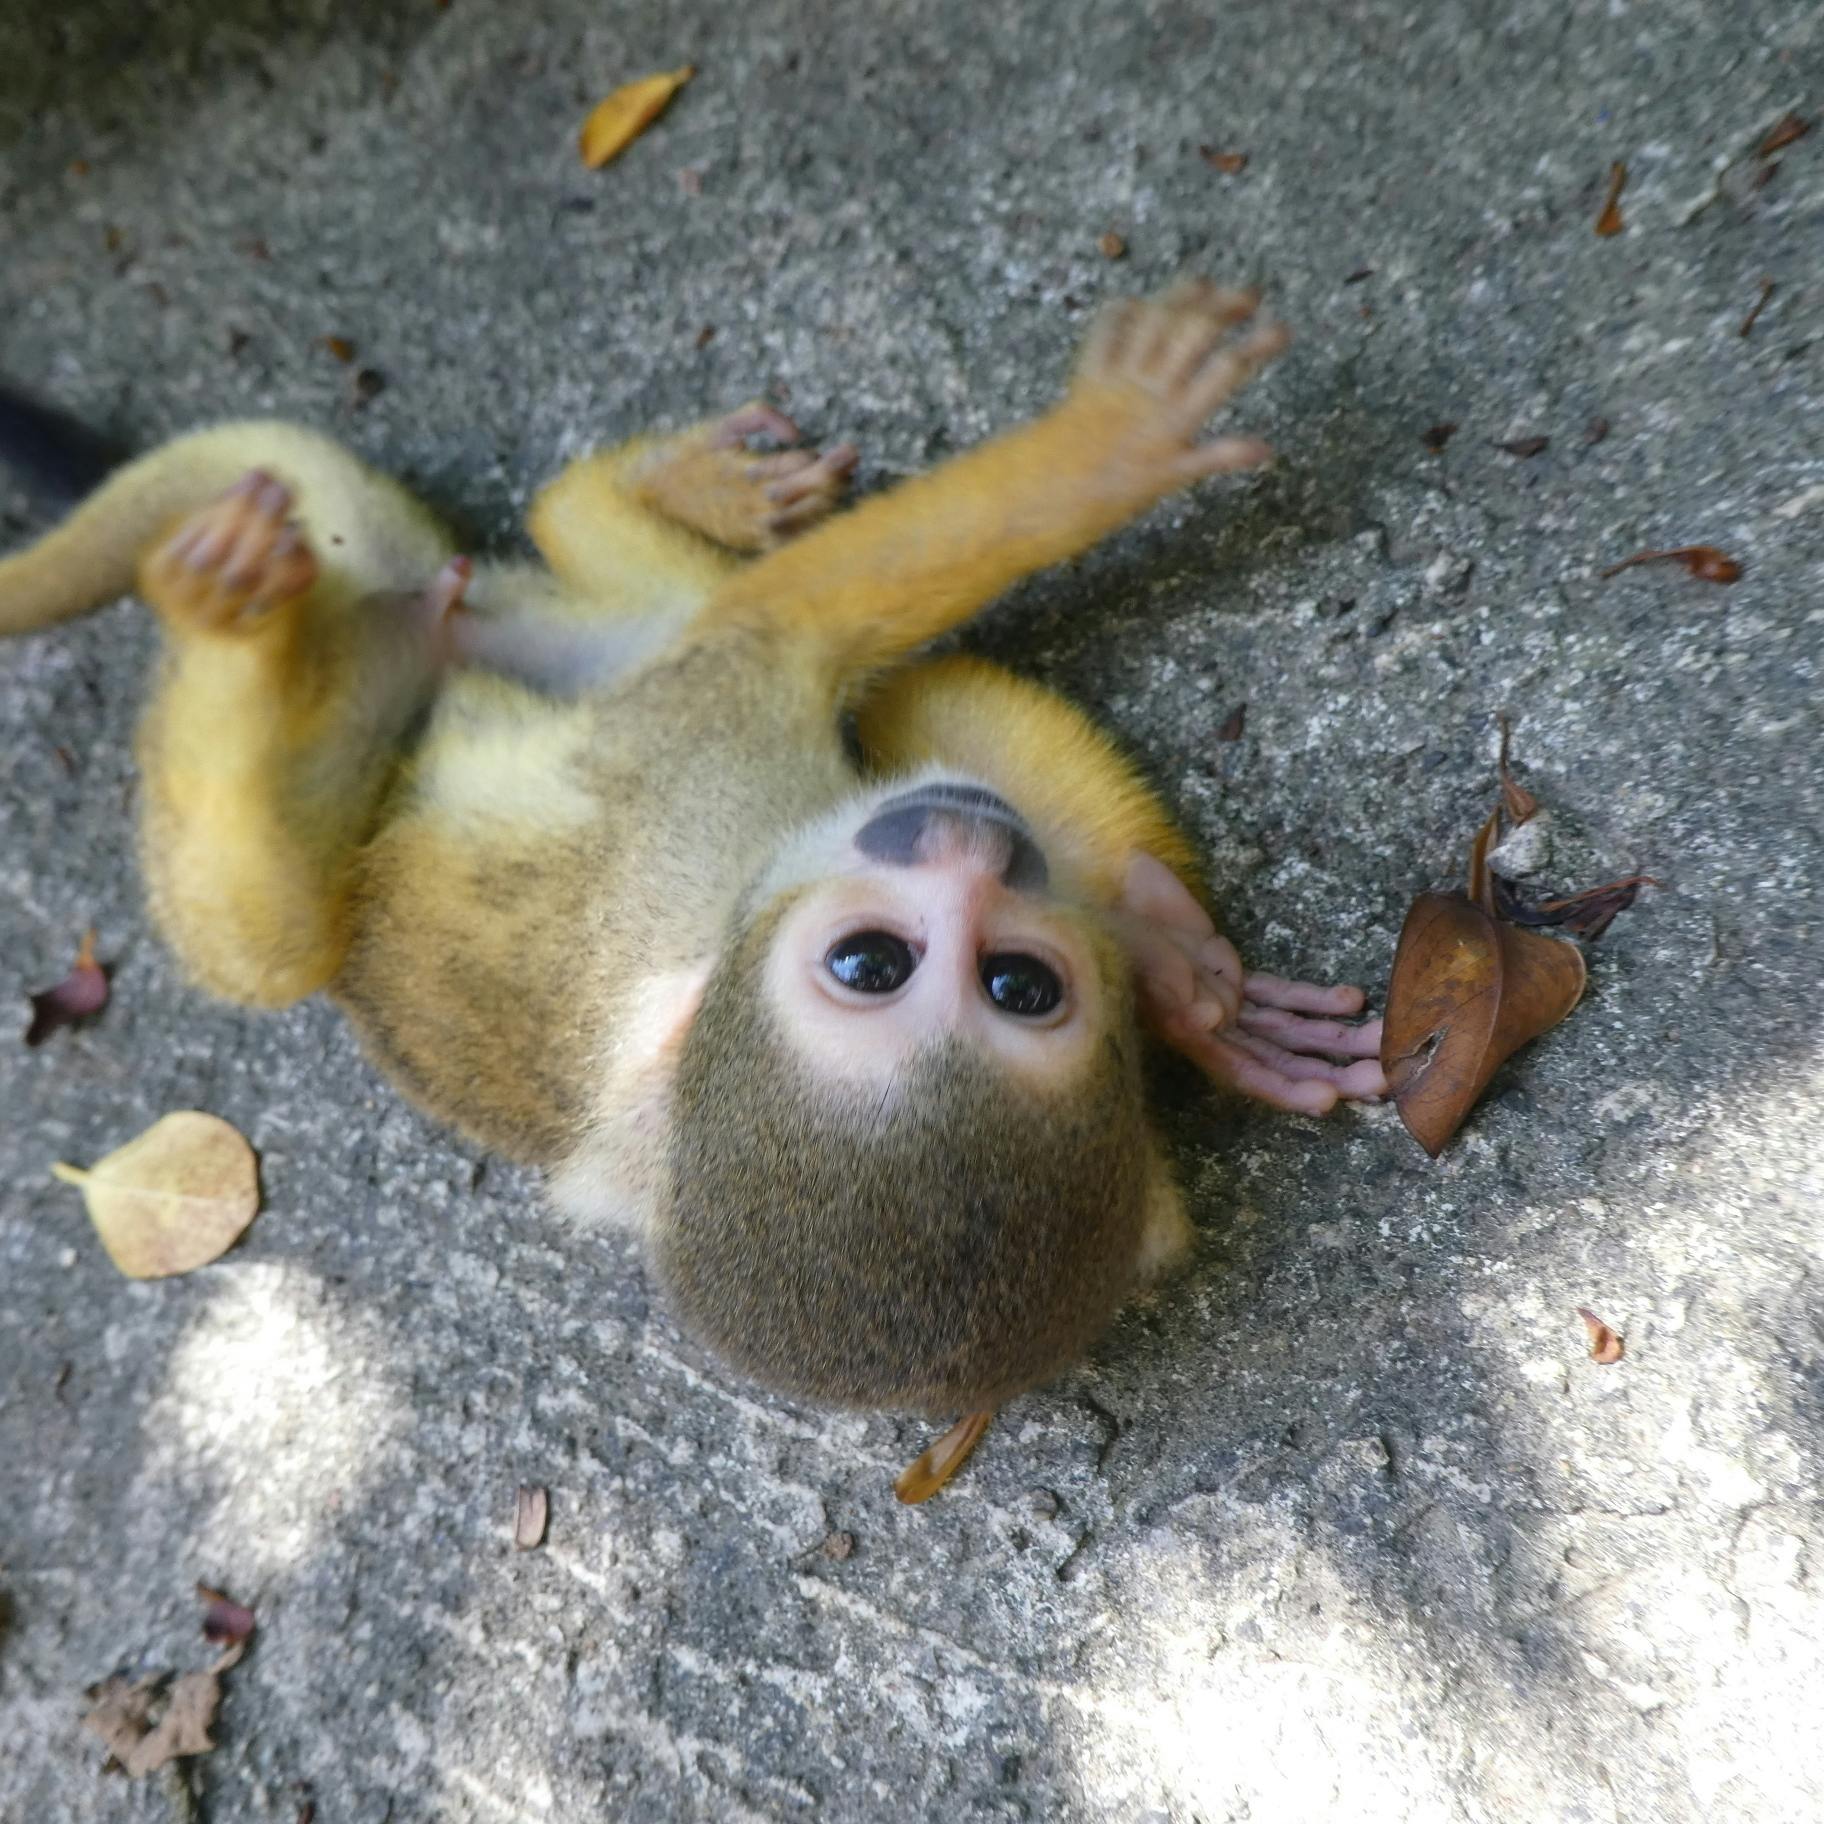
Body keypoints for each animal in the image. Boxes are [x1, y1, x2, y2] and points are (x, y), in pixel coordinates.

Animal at [0, 284, 1378, 1473]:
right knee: (276, 945)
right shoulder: (711, 759)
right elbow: (816, 627)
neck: (732, 917)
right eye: (871, 963)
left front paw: (1185, 981)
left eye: (1022, 985)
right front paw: (1114, 442)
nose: (974, 851)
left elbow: (923, 701)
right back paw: (232, 626)